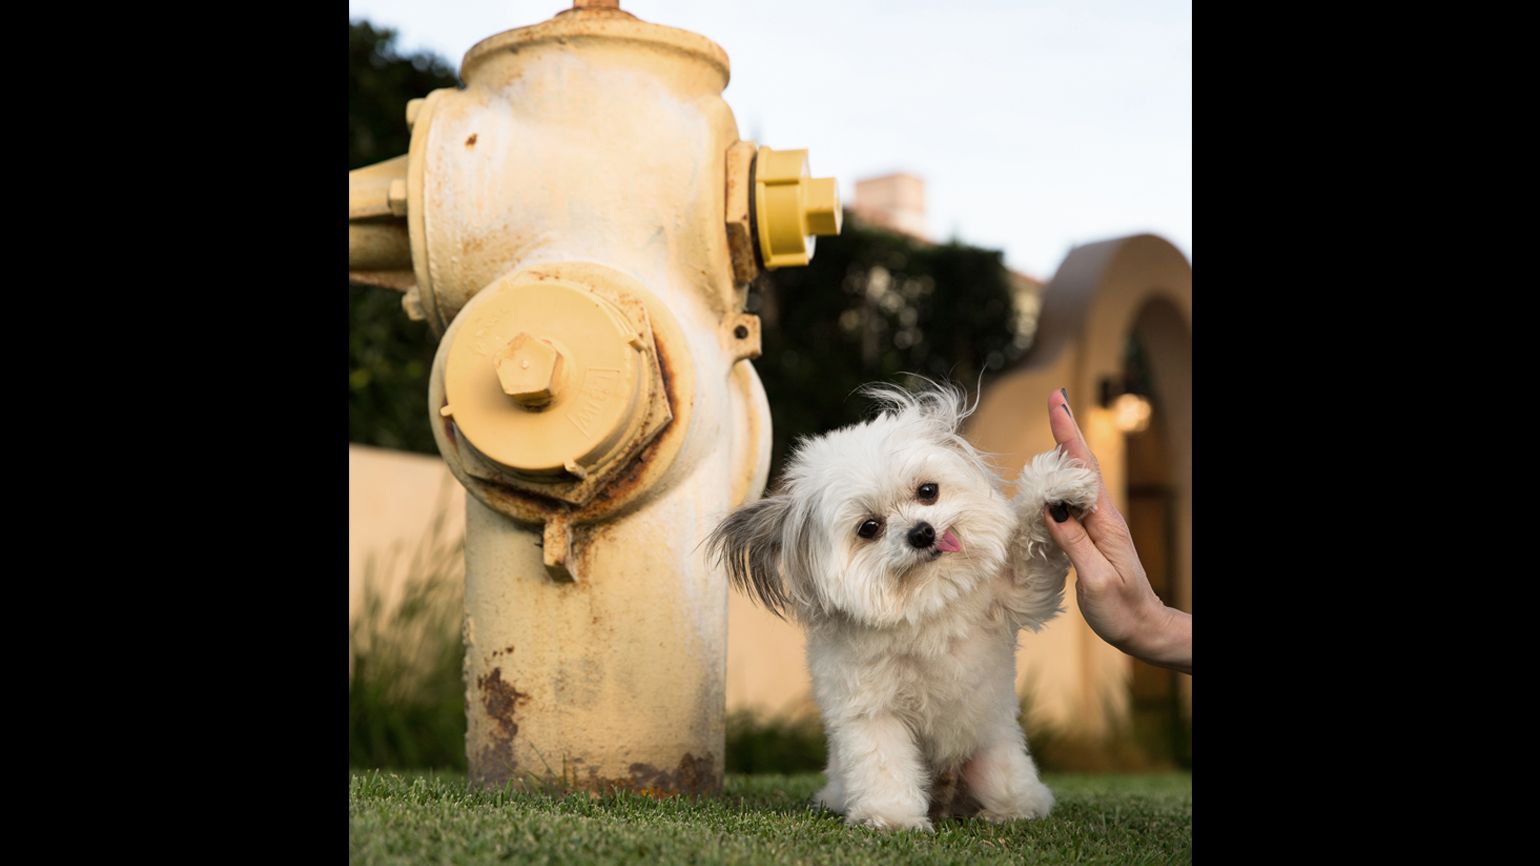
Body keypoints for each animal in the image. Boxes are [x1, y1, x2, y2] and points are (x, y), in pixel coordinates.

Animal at [705, 383, 1096, 832]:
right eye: (869, 528)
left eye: (928, 491)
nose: (921, 532)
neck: (926, 604)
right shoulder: (871, 711)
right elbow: (884, 765)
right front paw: (892, 818)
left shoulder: (1014, 591)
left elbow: (1032, 550)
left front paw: (1054, 487)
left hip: (993, 762)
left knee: (1009, 790)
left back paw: (1011, 812)